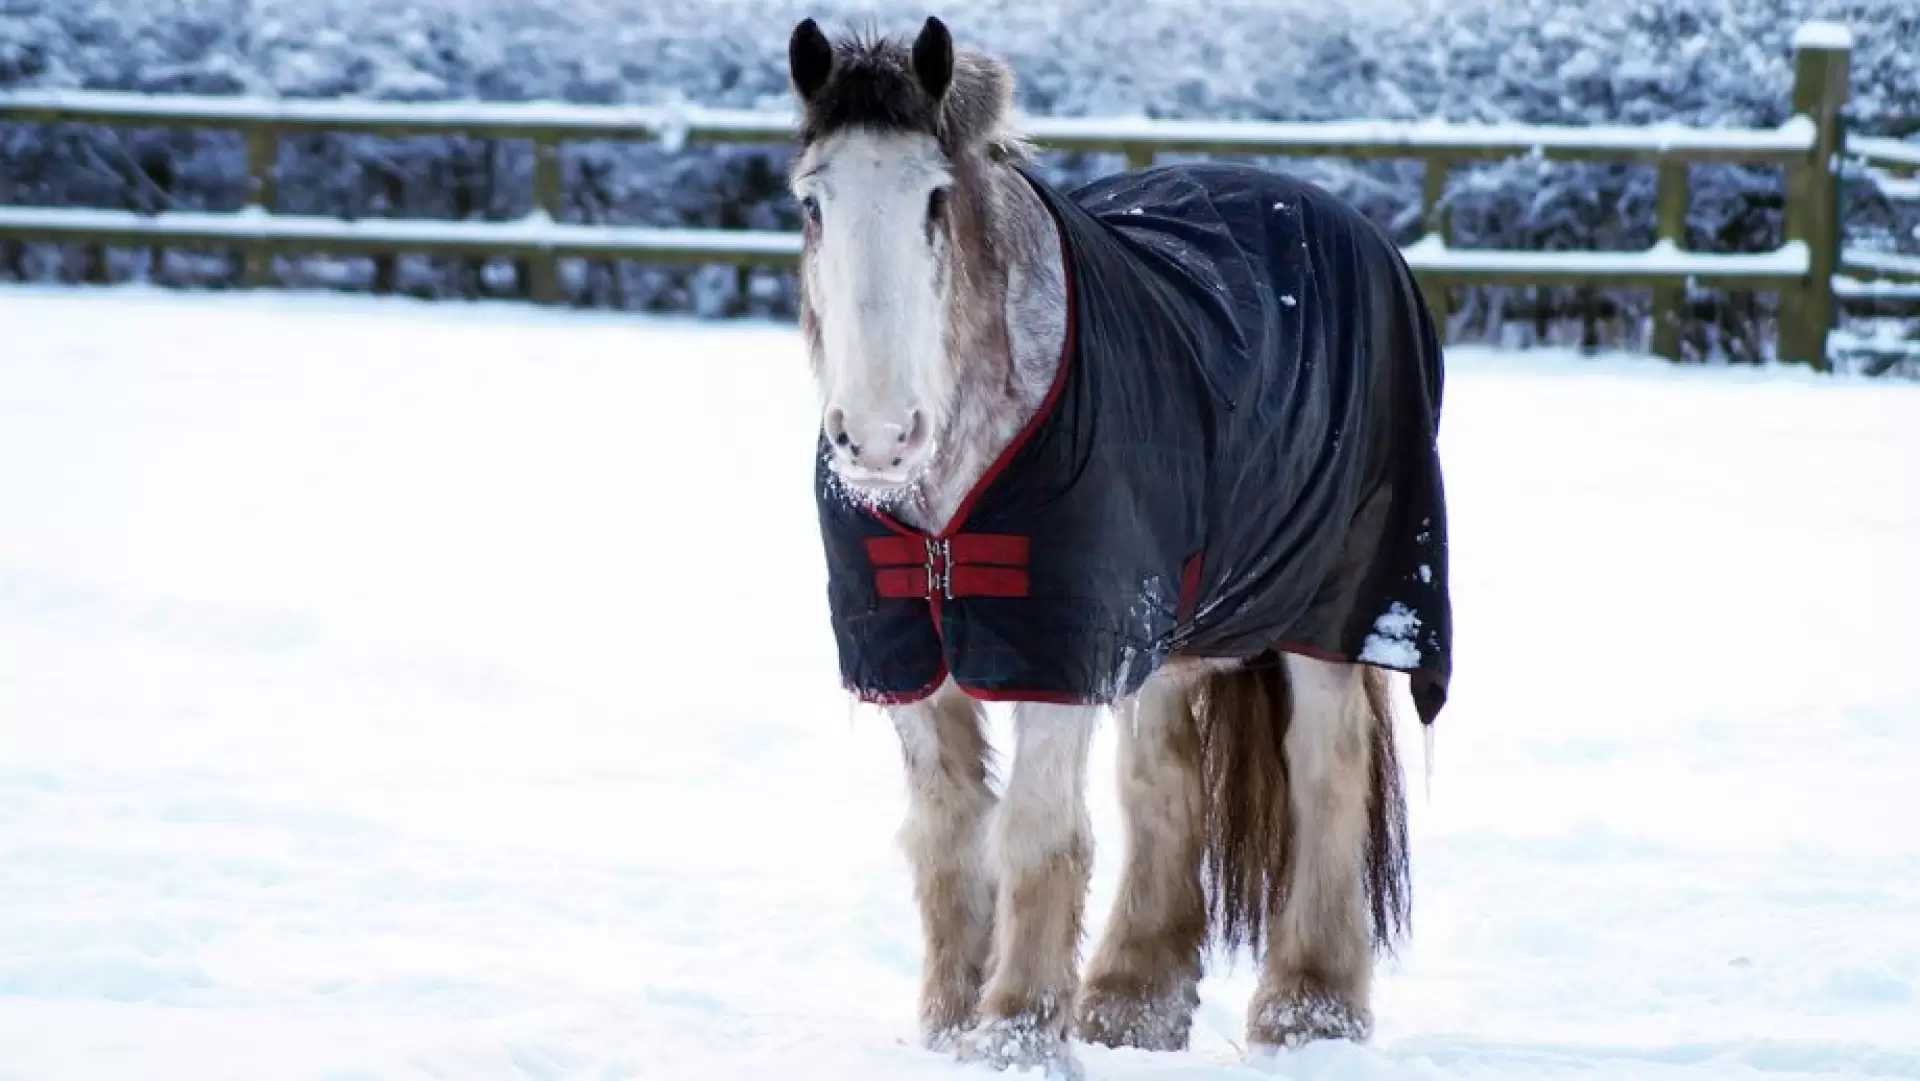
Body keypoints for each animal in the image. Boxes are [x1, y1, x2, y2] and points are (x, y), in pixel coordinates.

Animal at [785, 16, 1453, 1075]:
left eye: (934, 196)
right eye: (813, 200)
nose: (880, 438)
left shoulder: (1061, 654)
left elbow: (1037, 836)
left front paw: (1016, 1033)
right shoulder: (906, 653)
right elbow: (946, 832)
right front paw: (949, 1026)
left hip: (1336, 609)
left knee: (1326, 773)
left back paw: (1309, 1010)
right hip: (1168, 631)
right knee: (1163, 784)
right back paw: (1131, 1002)